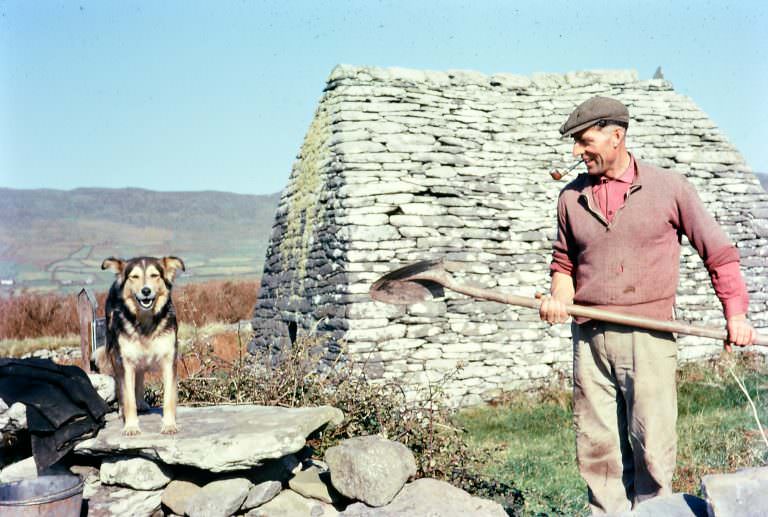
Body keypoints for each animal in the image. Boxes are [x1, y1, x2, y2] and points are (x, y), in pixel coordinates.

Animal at [97, 256, 186, 434]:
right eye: (134, 277)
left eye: (154, 275)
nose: (146, 291)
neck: (145, 320)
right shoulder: (125, 361)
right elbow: (128, 397)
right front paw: (131, 426)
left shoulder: (169, 360)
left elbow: (169, 398)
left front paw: (169, 424)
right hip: (115, 354)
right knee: (121, 385)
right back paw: (122, 410)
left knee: (140, 375)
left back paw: (142, 403)